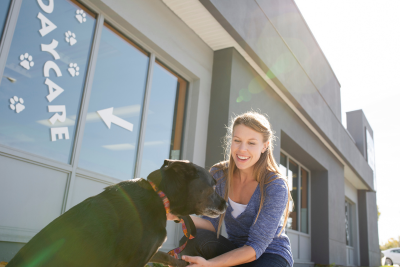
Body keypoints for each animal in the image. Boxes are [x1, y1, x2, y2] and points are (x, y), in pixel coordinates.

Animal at [6, 160, 227, 266]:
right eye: (213, 185)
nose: (226, 203)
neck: (159, 196)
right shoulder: (135, 260)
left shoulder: (150, 251)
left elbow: (166, 255)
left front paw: (182, 263)